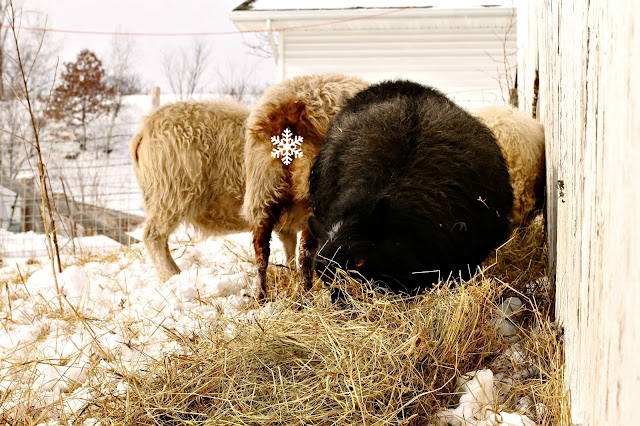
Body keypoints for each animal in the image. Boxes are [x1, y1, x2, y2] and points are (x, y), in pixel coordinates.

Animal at [131, 98, 300, 282]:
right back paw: (171, 276)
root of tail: (145, 128)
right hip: (171, 192)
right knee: (153, 236)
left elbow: (291, 246)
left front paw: (293, 273)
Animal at [241, 73, 370, 300]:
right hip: (311, 198)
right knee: (305, 254)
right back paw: (304, 295)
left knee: (261, 252)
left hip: (261, 194)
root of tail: (290, 109)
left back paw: (262, 296)